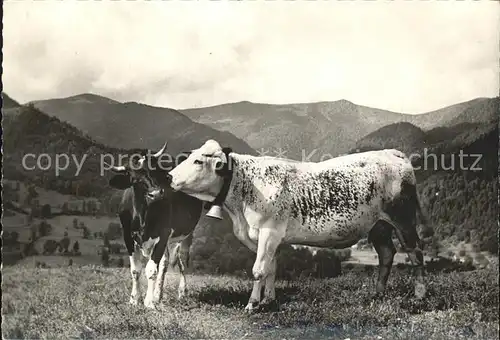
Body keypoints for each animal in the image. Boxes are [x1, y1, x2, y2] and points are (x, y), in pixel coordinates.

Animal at [107, 143, 203, 308]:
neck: (142, 215)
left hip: (184, 234)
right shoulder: (127, 236)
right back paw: (158, 295)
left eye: (154, 171)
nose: (156, 193)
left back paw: (181, 292)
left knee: (180, 262)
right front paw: (134, 299)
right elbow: (135, 270)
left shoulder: (163, 234)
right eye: (134, 177)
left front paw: (149, 302)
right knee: (165, 263)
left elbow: (151, 269)